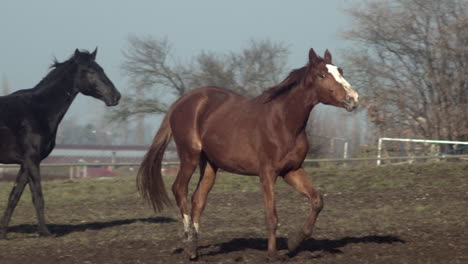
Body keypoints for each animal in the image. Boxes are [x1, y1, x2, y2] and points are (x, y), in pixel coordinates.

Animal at [0, 48, 120, 238]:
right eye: (91, 71)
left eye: (101, 69)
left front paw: (3, 233)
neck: (36, 110)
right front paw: (45, 232)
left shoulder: (25, 163)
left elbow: (14, 196)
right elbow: (38, 197)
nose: (115, 96)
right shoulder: (32, 160)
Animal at [138, 48, 358, 260]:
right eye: (322, 75)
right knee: (179, 190)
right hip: (189, 156)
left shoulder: (292, 171)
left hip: (209, 165)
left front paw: (294, 242)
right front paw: (272, 255)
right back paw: (190, 242)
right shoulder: (267, 173)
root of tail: (180, 102)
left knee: (198, 199)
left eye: (340, 71)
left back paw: (194, 249)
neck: (283, 122)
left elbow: (317, 200)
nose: (353, 99)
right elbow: (271, 216)